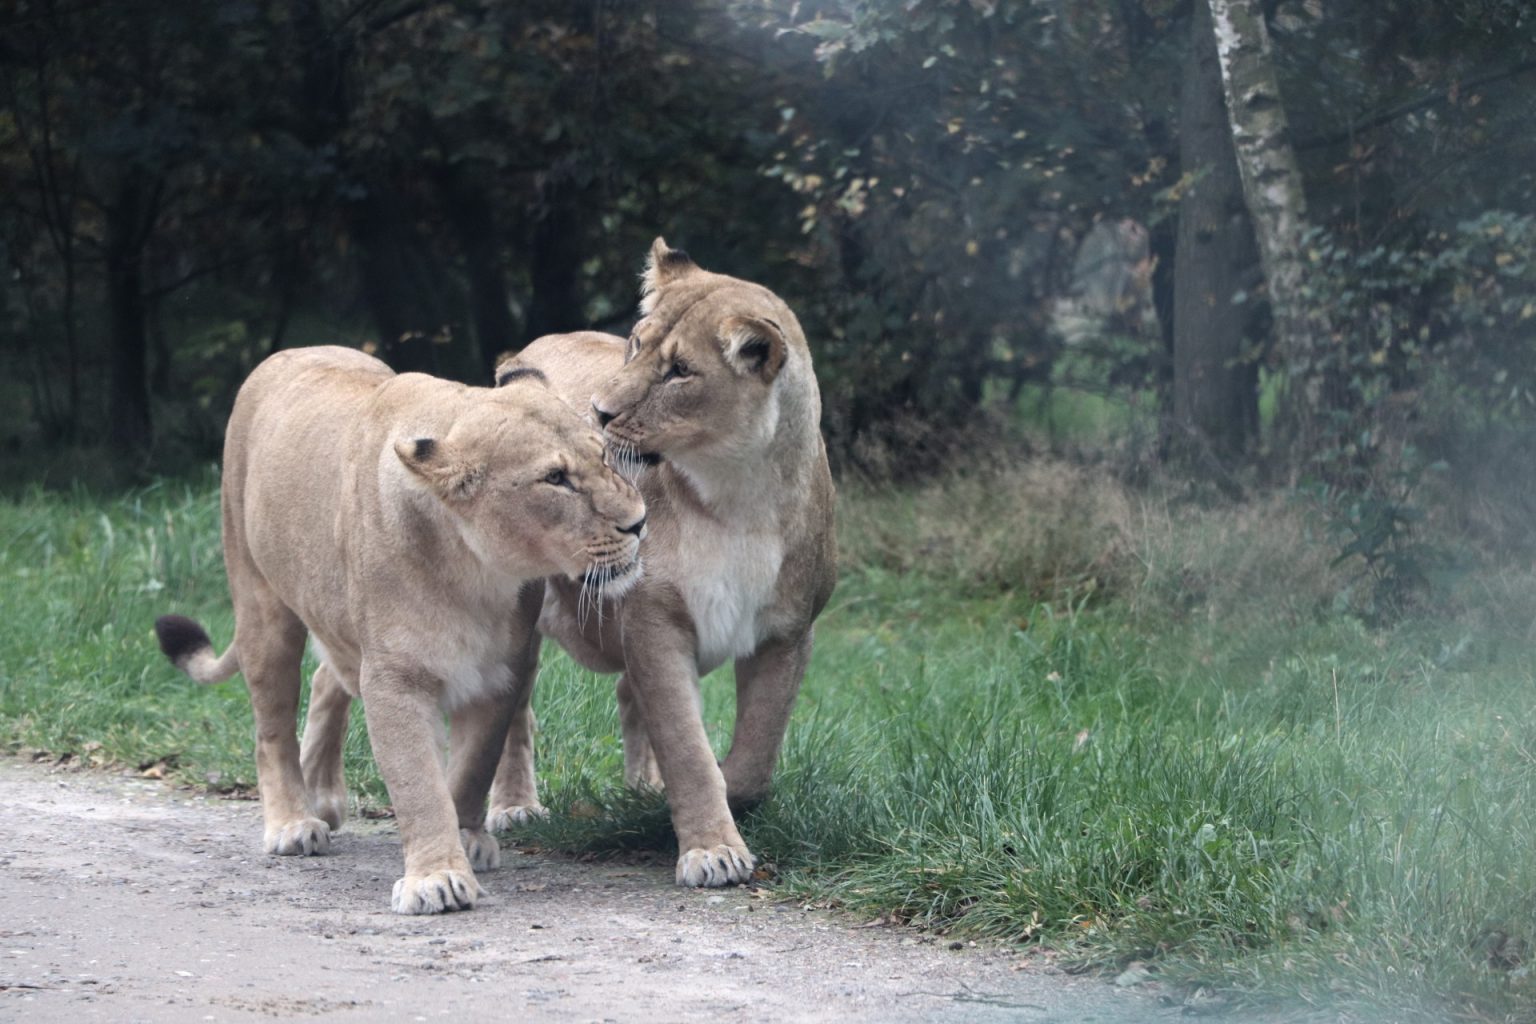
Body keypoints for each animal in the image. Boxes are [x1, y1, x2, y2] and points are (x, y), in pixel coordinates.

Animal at [158, 348, 651, 914]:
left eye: (604, 454)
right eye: (555, 478)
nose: (639, 522)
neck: (477, 571)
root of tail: (287, 354)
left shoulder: (498, 675)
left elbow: (470, 771)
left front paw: (466, 838)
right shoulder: (395, 680)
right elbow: (418, 783)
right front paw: (437, 876)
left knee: (328, 680)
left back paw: (323, 797)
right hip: (261, 604)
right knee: (272, 729)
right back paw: (294, 821)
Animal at [491, 241, 835, 890]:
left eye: (680, 371)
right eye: (634, 343)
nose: (598, 412)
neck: (736, 498)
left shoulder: (788, 631)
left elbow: (756, 751)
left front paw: (714, 796)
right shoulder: (655, 621)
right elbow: (685, 745)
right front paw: (713, 849)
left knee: (627, 695)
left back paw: (640, 790)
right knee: (513, 712)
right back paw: (514, 807)